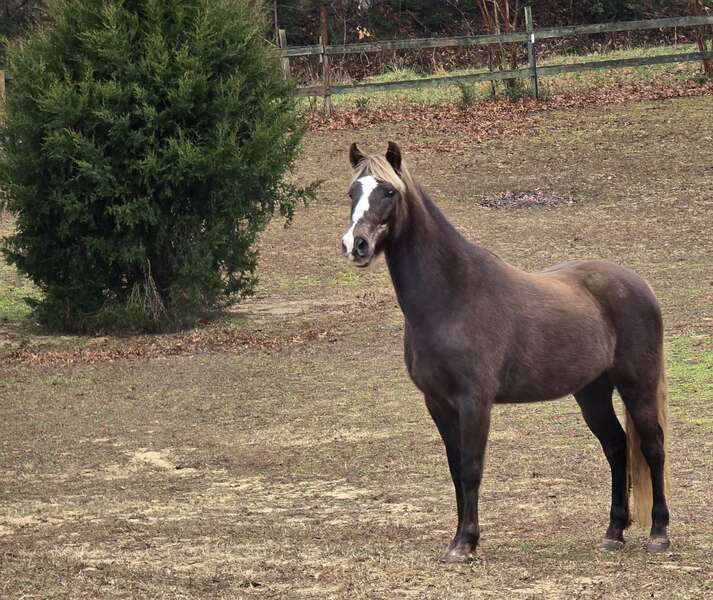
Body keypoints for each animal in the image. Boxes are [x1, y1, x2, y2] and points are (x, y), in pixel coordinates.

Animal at [340, 142, 670, 563]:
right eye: (352, 192)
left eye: (388, 192)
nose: (356, 245)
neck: (452, 295)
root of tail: (639, 283)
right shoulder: (438, 403)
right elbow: (455, 468)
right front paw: (460, 539)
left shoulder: (474, 402)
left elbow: (472, 467)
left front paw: (465, 543)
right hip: (592, 392)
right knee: (615, 446)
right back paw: (613, 532)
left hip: (637, 385)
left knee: (652, 447)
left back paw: (659, 533)